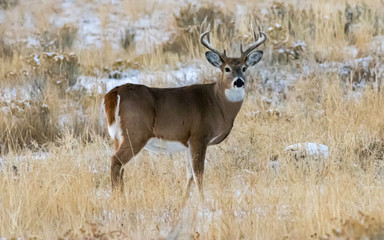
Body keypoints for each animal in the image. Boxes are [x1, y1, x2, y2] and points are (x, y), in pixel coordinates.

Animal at [105, 20, 268, 200]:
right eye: (227, 69)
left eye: (245, 68)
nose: (239, 82)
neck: (218, 104)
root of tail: (115, 93)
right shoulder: (199, 136)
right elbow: (199, 174)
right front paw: (203, 202)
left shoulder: (188, 143)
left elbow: (189, 176)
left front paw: (184, 202)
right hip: (135, 133)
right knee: (115, 161)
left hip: (118, 137)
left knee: (120, 167)